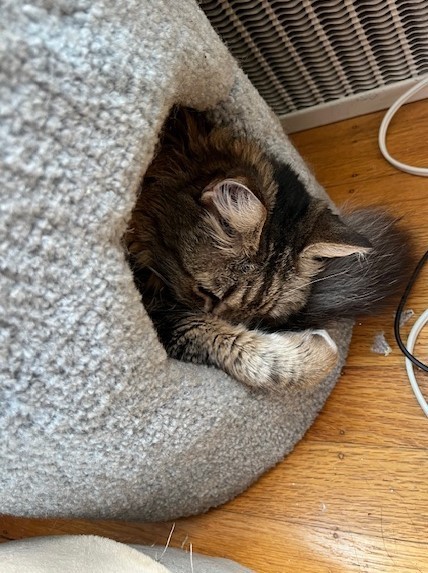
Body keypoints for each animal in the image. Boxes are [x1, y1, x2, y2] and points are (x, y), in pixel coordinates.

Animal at [124, 106, 412, 394]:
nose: (231, 320)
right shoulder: (162, 313)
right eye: (207, 293)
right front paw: (322, 352)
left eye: (258, 317)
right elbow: (227, 345)